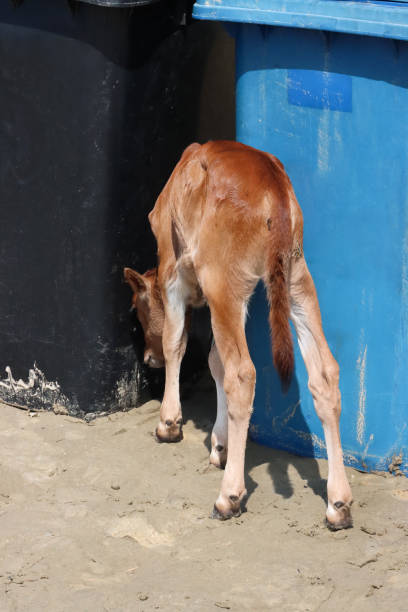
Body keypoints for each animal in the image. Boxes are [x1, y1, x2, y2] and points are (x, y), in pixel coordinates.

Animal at [123, 141, 350, 528]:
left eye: (137, 311)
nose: (147, 359)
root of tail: (275, 188)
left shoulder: (172, 267)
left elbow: (176, 341)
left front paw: (169, 422)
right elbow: (215, 361)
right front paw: (221, 443)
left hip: (223, 280)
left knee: (243, 373)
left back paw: (229, 496)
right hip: (296, 278)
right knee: (324, 373)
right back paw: (338, 502)